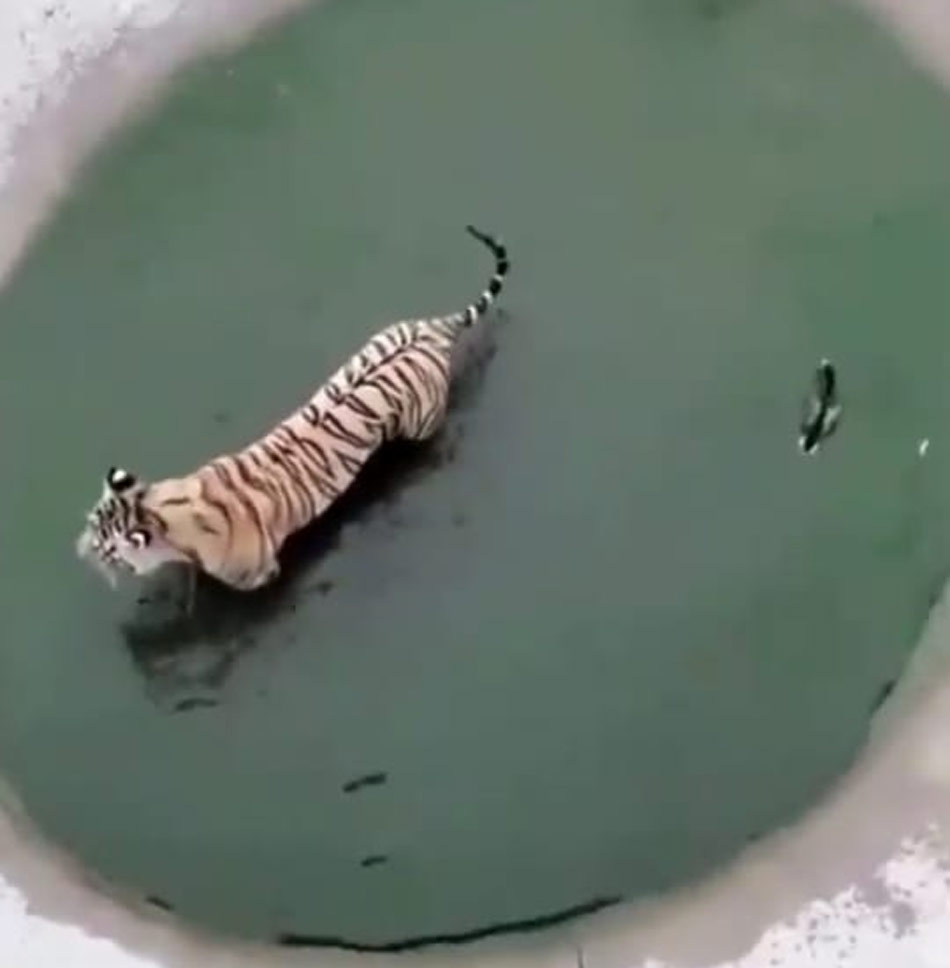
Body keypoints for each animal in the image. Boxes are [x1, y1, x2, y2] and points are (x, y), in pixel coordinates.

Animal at [76, 224, 509, 594]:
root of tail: (433, 328)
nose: (77, 551)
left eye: (102, 548)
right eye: (91, 524)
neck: (160, 509)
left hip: (422, 423)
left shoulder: (259, 574)